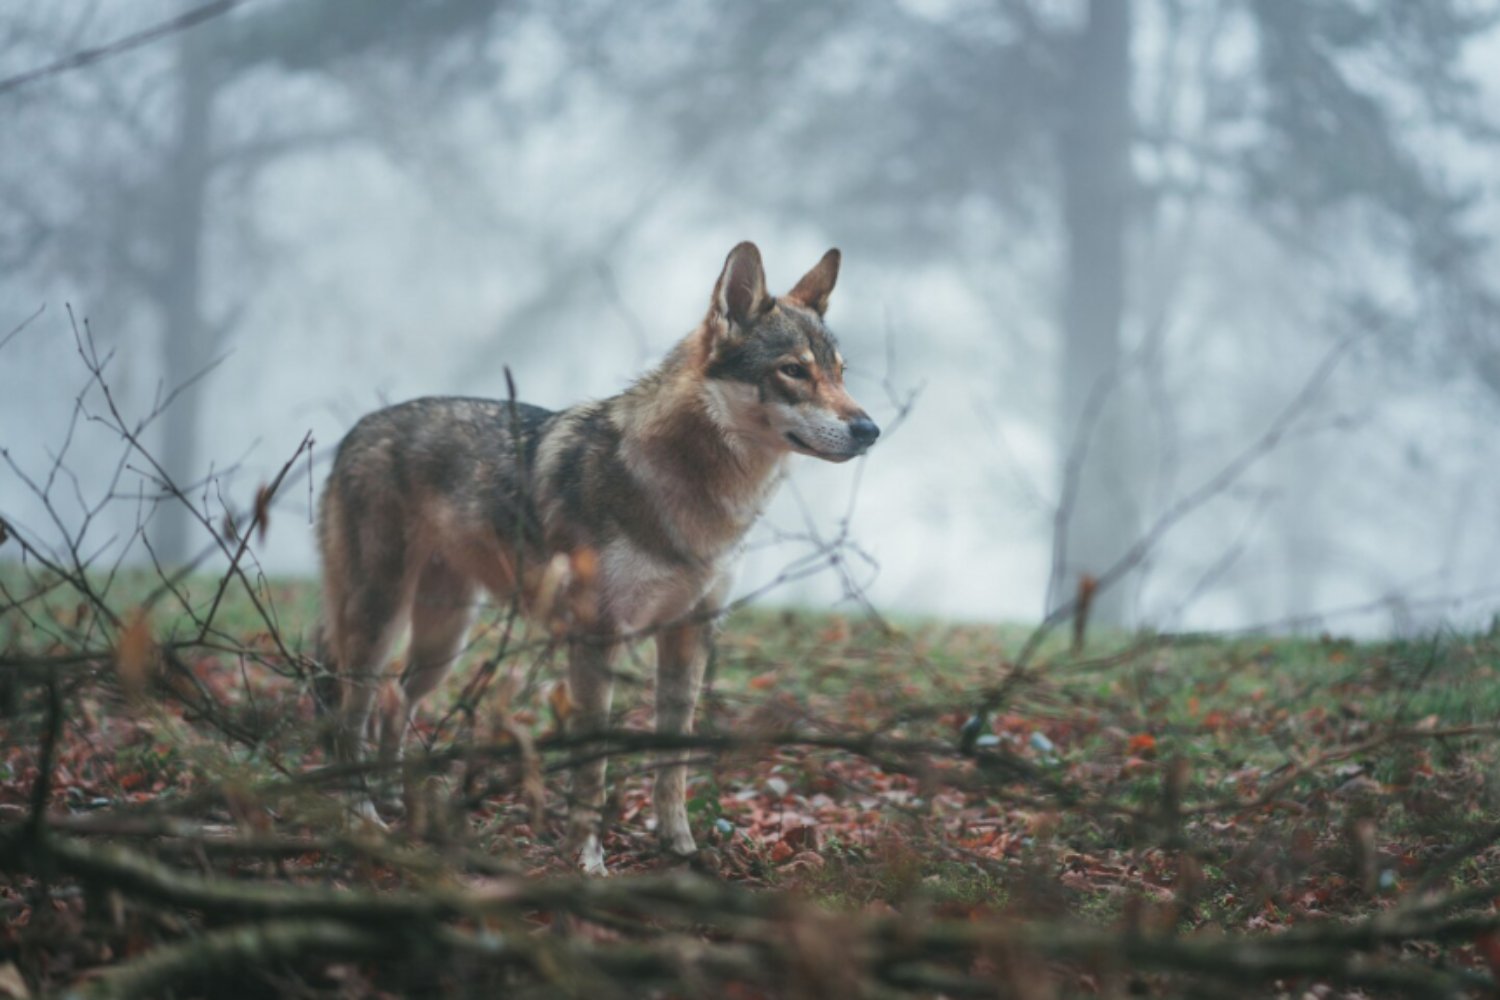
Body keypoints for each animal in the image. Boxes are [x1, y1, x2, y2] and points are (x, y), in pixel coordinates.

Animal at [316, 241, 878, 872]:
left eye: (840, 373)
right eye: (794, 370)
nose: (870, 429)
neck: (691, 493)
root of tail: (356, 430)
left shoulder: (689, 635)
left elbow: (672, 763)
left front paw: (680, 848)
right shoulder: (595, 639)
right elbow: (595, 768)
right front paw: (587, 860)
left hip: (444, 639)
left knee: (393, 700)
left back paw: (392, 798)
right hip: (380, 620)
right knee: (351, 714)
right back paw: (361, 816)